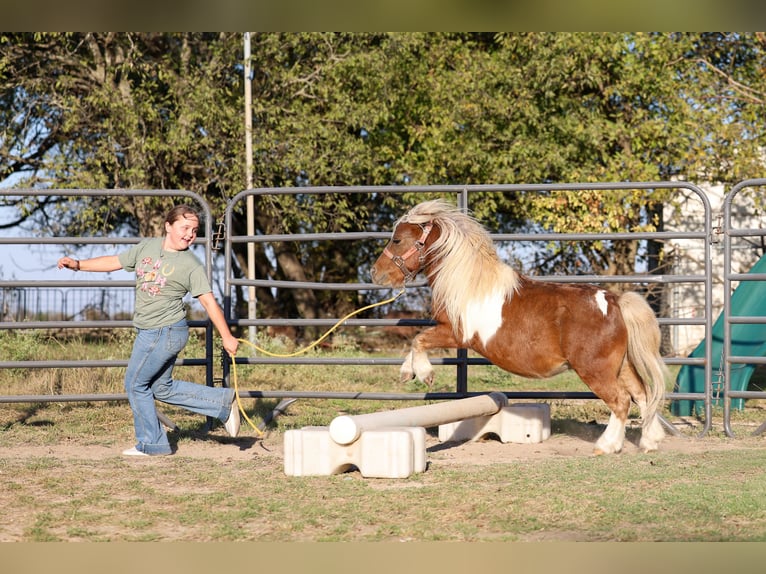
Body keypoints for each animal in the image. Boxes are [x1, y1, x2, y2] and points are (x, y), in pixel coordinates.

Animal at [370, 199, 668, 455]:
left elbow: (419, 339)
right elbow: (417, 341)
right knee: (643, 395)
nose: (376, 273)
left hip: (596, 370)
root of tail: (615, 302)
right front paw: (407, 372)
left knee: (621, 401)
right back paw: (649, 442)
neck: (468, 284)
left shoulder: (456, 334)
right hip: (622, 365)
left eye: (397, 240)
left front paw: (425, 374)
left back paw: (606, 446)